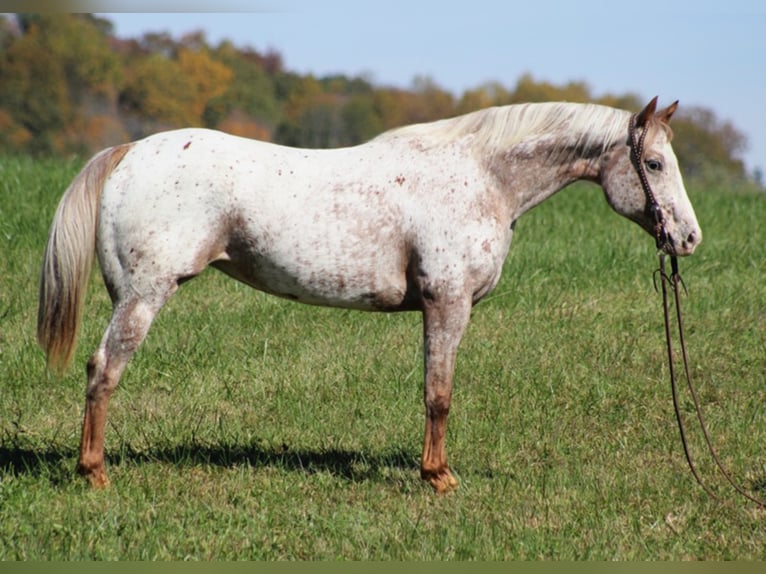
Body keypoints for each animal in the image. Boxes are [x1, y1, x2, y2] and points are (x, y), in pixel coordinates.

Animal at [40, 99, 704, 496]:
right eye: (652, 163)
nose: (689, 238)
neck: (483, 176)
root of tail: (129, 153)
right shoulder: (446, 303)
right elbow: (439, 394)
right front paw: (438, 478)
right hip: (143, 297)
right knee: (104, 370)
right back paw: (94, 474)